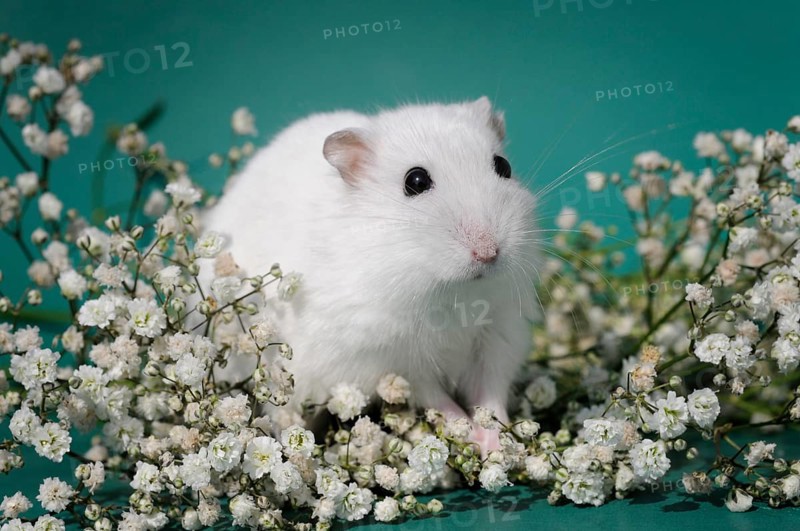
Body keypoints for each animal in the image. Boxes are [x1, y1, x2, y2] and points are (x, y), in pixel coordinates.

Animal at [200, 97, 539, 451]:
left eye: (503, 166)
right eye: (415, 181)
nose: (488, 252)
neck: (454, 290)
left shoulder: (498, 335)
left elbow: (490, 395)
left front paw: (498, 446)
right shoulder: (395, 361)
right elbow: (436, 397)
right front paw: (471, 435)